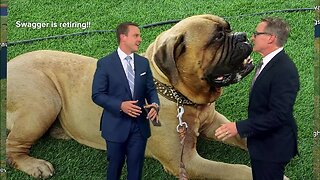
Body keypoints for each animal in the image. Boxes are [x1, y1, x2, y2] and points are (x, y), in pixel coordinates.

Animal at [6, 14, 255, 179]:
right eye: (218, 38)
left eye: (228, 28)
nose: (243, 35)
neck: (179, 97)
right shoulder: (186, 162)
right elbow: (237, 170)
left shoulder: (214, 122)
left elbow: (243, 134)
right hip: (43, 105)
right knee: (12, 147)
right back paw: (35, 165)